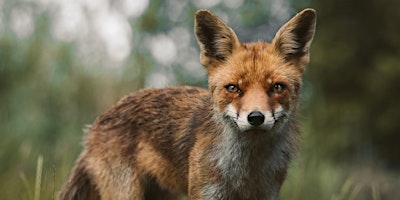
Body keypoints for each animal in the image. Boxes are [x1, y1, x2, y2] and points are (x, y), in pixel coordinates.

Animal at [58, 8, 316, 200]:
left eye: (277, 87)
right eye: (233, 88)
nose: (255, 117)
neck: (245, 173)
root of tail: (96, 124)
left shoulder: (266, 195)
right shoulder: (206, 193)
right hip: (126, 194)